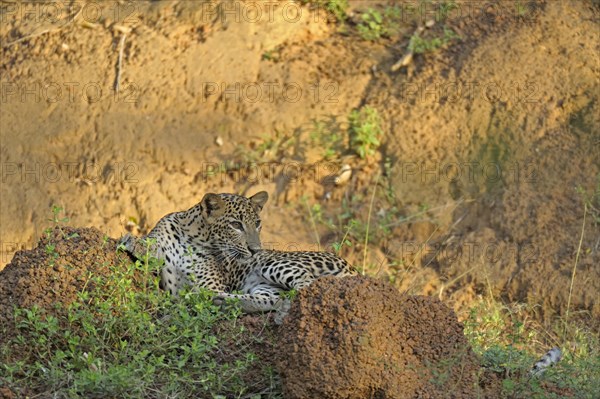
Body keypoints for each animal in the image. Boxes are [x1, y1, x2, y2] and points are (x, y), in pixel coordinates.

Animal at [121, 191, 356, 318]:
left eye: (258, 223)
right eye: (236, 225)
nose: (255, 249)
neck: (193, 238)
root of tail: (351, 266)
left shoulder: (211, 283)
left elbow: (202, 289)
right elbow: (153, 249)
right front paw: (131, 241)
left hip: (272, 263)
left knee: (304, 285)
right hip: (266, 286)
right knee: (271, 299)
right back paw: (222, 302)